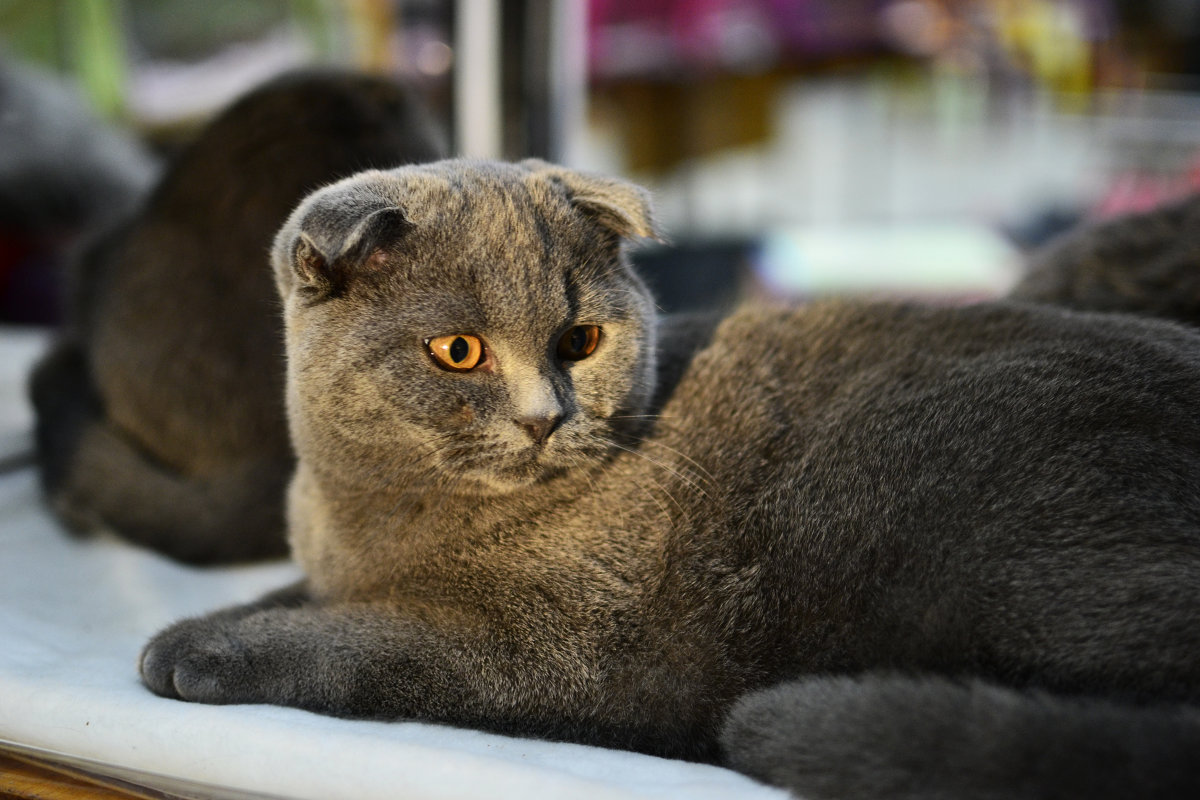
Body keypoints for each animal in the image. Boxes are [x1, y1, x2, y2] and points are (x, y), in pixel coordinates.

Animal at [138, 159, 1200, 796]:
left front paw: (197, 647)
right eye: (458, 350)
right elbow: (300, 594)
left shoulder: (561, 644)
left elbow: (369, 639)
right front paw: (211, 620)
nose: (545, 416)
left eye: (580, 341)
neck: (374, 515)